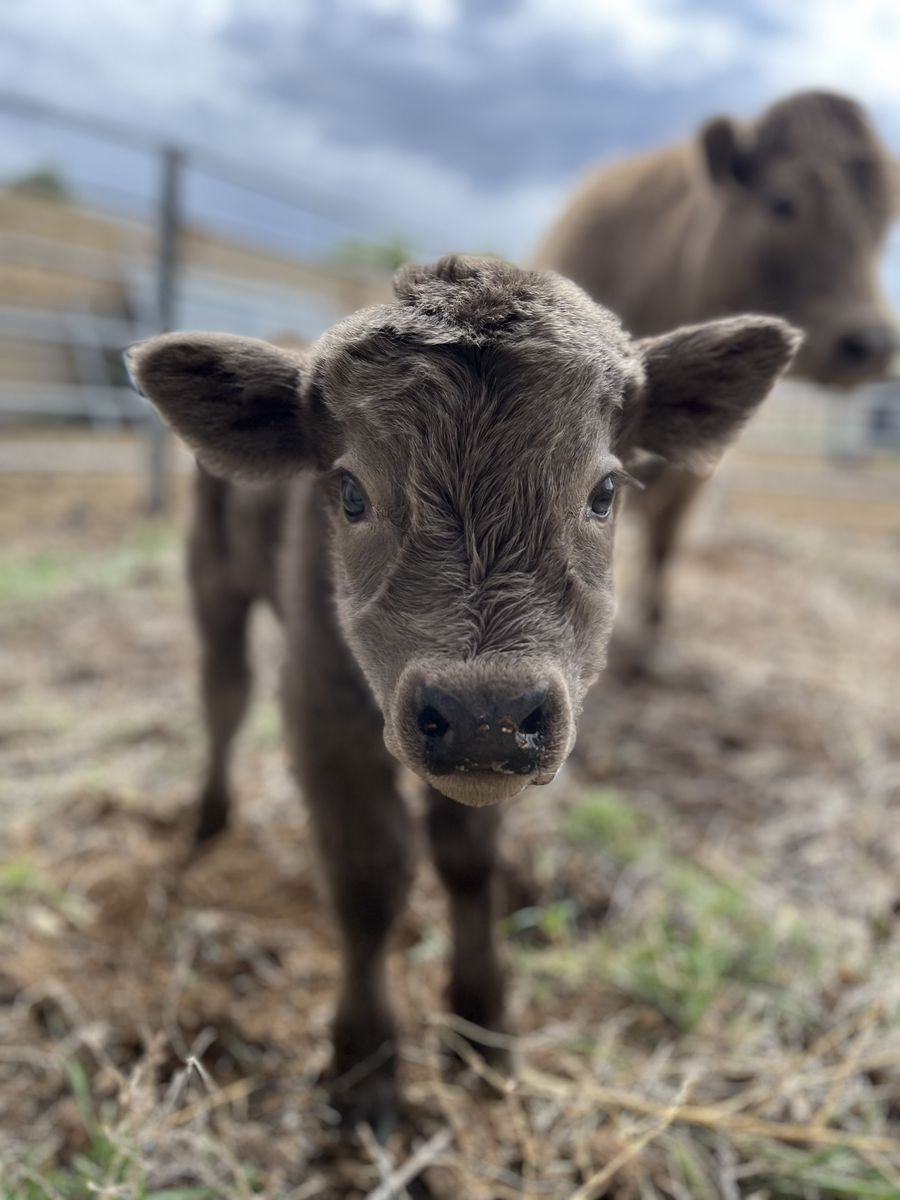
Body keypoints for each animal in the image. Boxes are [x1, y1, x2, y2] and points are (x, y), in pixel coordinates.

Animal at [126, 255, 798, 1132]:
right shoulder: (320, 708)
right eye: (351, 492)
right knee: (222, 696)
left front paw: (482, 1027)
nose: (487, 715)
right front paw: (365, 1070)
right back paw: (207, 822)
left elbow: (469, 863)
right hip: (213, 584)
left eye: (604, 492)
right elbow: (370, 876)